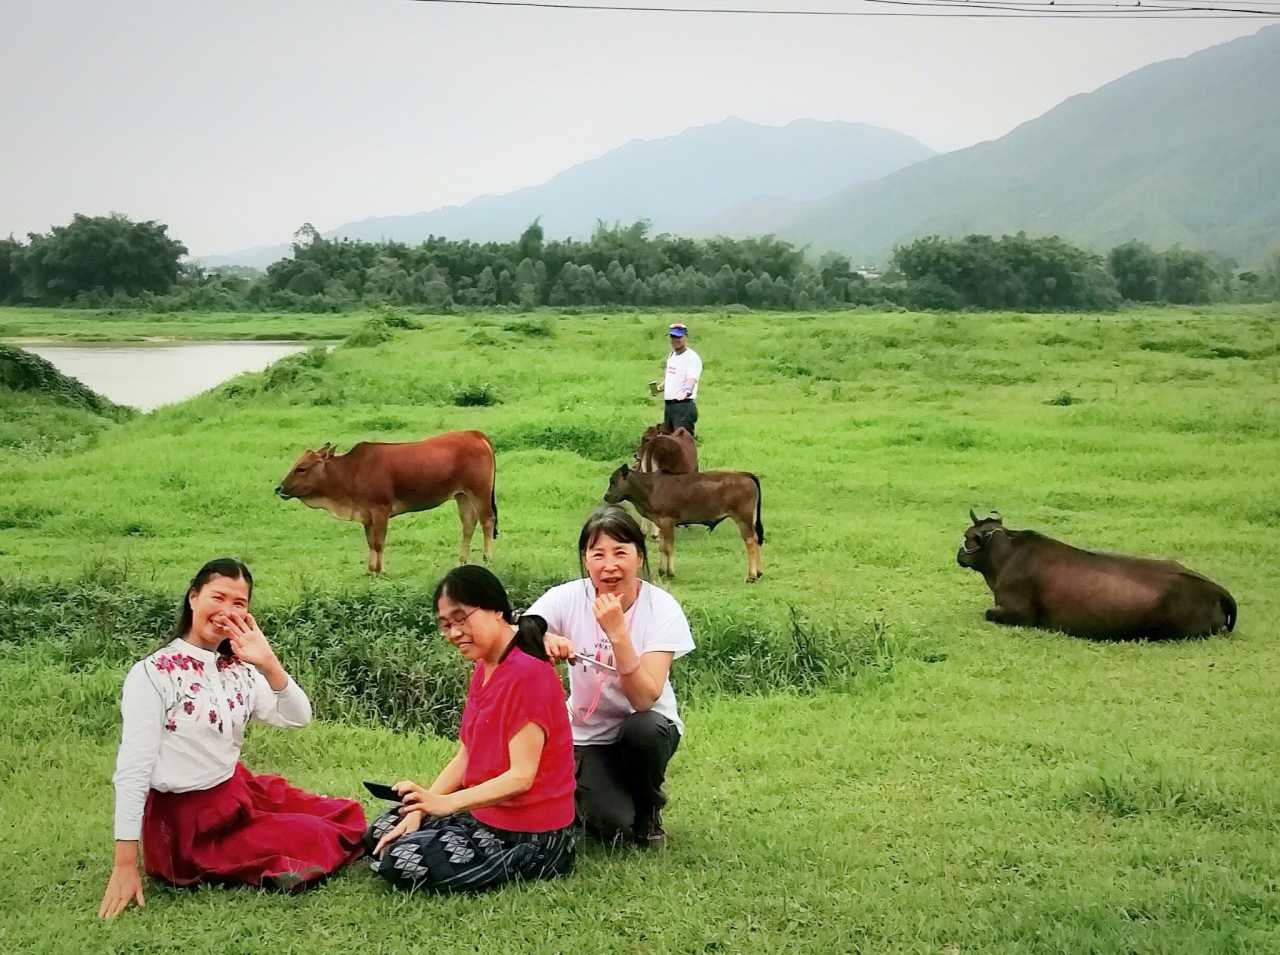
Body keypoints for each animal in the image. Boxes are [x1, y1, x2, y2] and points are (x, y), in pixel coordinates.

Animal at [277, 430, 496, 573]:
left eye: (302, 468)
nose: (279, 488)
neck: (351, 471)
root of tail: (475, 434)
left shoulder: (380, 510)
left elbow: (379, 542)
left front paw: (379, 570)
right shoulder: (366, 514)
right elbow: (370, 543)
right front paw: (370, 569)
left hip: (480, 492)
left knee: (487, 522)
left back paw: (487, 558)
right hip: (462, 495)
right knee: (468, 525)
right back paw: (462, 561)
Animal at [599, 463, 757, 581]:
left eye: (613, 482)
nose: (606, 496)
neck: (650, 487)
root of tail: (744, 475)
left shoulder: (668, 522)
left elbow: (668, 547)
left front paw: (670, 572)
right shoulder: (661, 523)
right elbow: (662, 547)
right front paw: (661, 570)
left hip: (743, 518)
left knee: (750, 542)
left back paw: (751, 576)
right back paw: (758, 572)